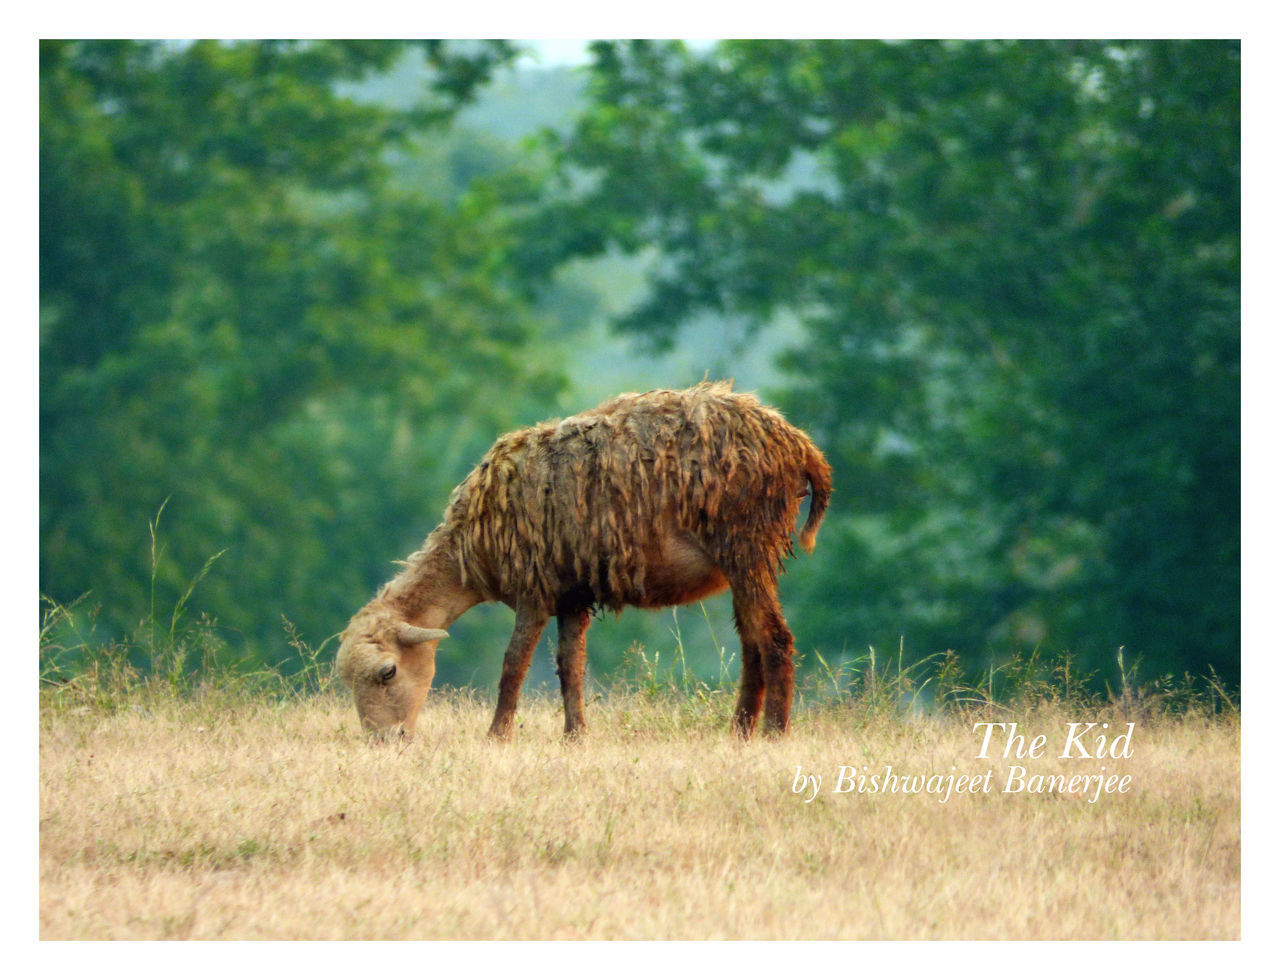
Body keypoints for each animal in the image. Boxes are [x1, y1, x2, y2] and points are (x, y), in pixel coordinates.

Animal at [335, 383, 829, 747]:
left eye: (387, 672)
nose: (384, 741)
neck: (470, 549)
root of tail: (799, 446)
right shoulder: (571, 594)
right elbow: (569, 666)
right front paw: (575, 736)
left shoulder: (534, 588)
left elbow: (513, 664)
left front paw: (497, 737)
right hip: (745, 558)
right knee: (752, 642)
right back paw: (740, 731)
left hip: (748, 544)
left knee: (774, 639)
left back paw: (773, 734)